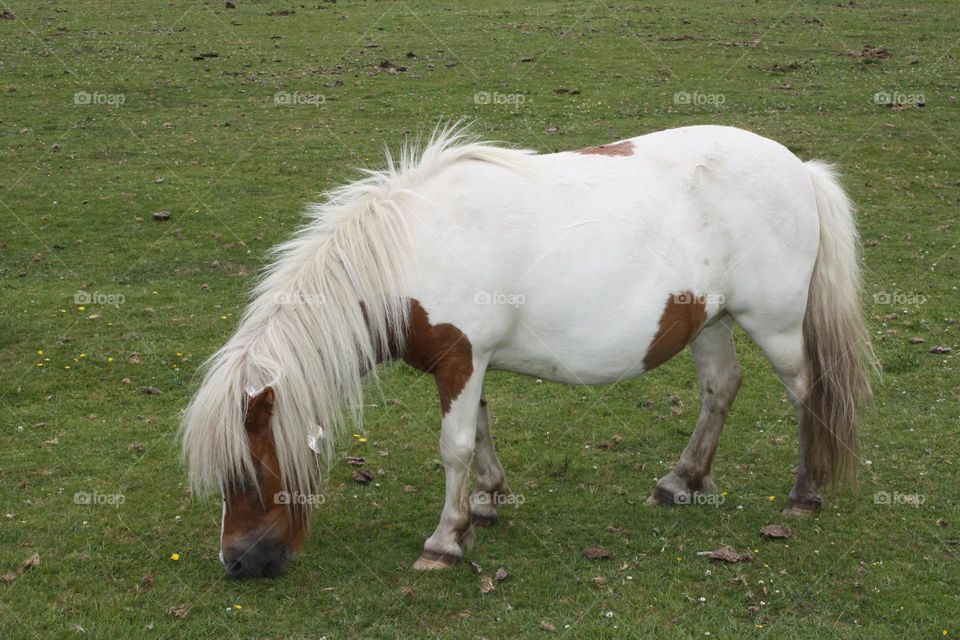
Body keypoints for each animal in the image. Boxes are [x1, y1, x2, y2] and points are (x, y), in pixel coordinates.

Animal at [180, 124, 876, 578]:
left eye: (251, 474)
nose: (236, 563)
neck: (409, 252)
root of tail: (801, 170)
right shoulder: (466, 363)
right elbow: (481, 432)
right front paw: (485, 505)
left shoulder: (462, 358)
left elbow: (454, 446)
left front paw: (443, 542)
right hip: (709, 321)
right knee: (721, 388)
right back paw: (682, 481)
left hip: (775, 324)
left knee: (806, 393)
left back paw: (804, 495)